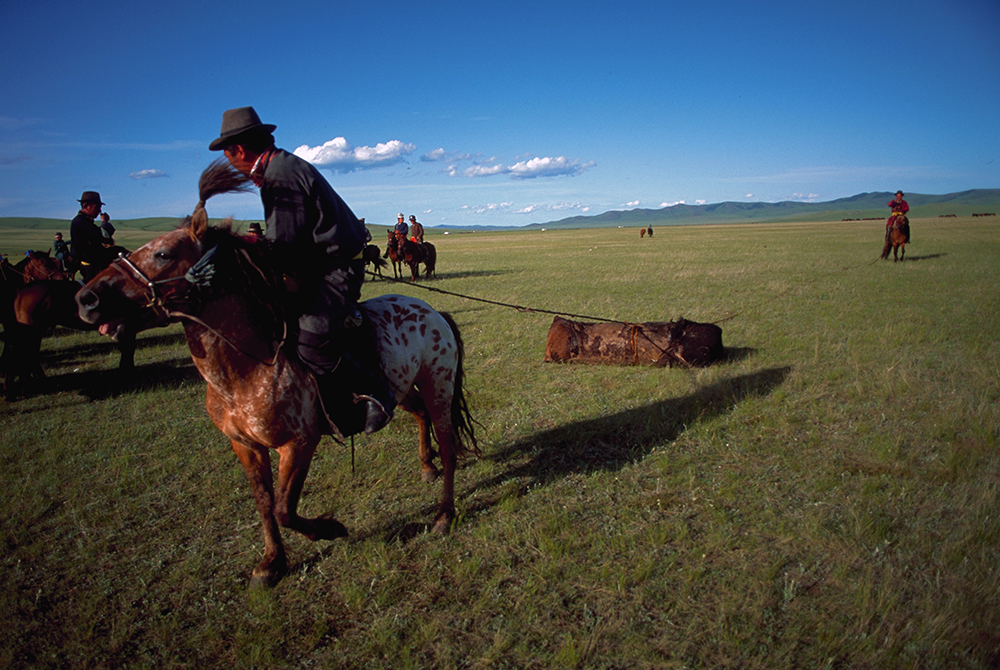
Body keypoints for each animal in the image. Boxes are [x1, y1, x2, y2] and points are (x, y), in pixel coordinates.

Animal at [75, 161, 480, 588]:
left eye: (164, 253)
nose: (86, 299)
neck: (245, 368)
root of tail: (433, 312)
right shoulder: (245, 446)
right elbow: (265, 502)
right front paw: (272, 562)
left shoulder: (298, 443)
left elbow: (286, 508)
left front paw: (329, 529)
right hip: (400, 390)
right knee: (420, 416)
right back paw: (426, 465)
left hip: (438, 385)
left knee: (449, 442)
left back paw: (444, 514)